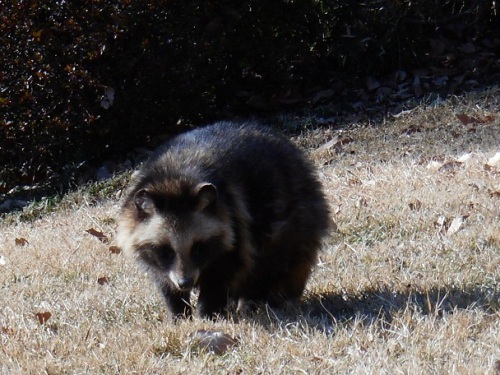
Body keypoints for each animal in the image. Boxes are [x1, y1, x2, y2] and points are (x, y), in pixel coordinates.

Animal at [115, 122, 330, 320]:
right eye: (166, 250)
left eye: (198, 248)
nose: (185, 283)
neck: (174, 180)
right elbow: (163, 279)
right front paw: (179, 312)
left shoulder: (235, 220)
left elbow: (225, 269)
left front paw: (207, 313)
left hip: (298, 216)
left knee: (278, 257)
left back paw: (260, 299)